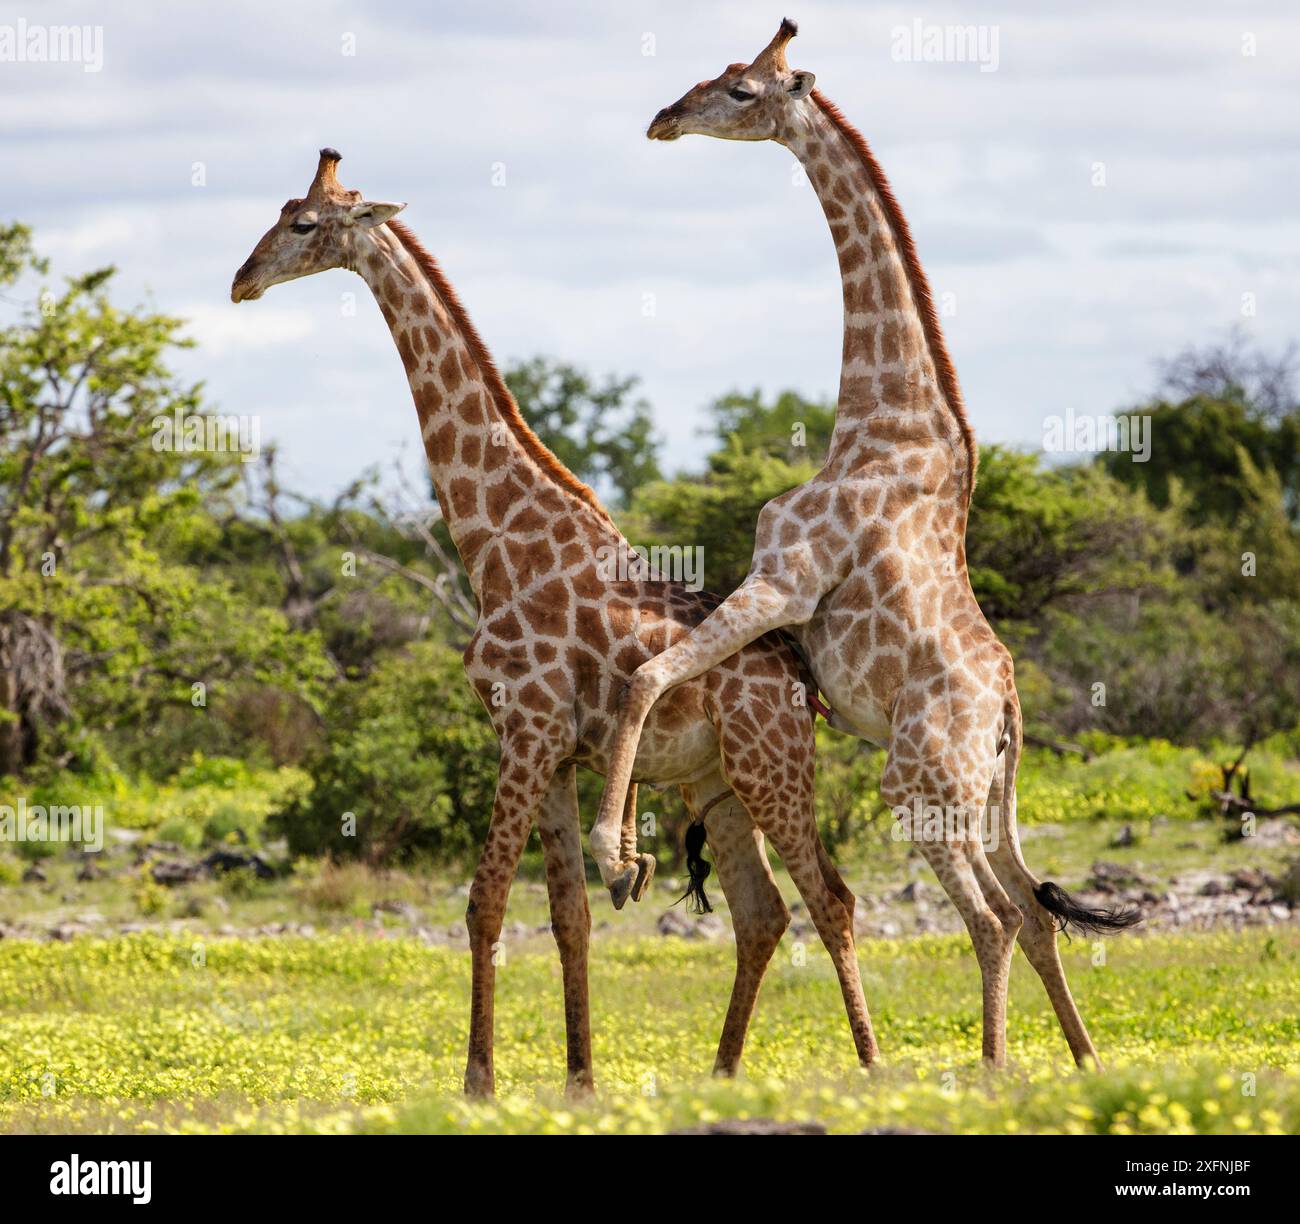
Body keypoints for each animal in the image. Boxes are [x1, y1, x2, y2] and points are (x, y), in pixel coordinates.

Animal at [230, 148, 879, 1096]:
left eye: (304, 224)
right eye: (281, 212)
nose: (241, 280)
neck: (497, 548)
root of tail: (802, 679)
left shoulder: (525, 731)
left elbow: (485, 901)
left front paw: (478, 1082)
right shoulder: (558, 751)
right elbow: (569, 912)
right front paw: (580, 1079)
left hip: (772, 767)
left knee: (832, 898)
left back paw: (872, 1065)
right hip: (715, 782)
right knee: (762, 913)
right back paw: (722, 1074)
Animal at [591, 20, 1139, 1069]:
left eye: (741, 89)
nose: (662, 117)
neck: (876, 418)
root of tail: (1010, 711)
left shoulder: (783, 584)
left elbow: (647, 675)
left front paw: (614, 854)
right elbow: (658, 675)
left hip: (918, 785)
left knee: (993, 919)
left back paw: (994, 1070)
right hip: (982, 801)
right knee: (1032, 911)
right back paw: (1083, 1063)